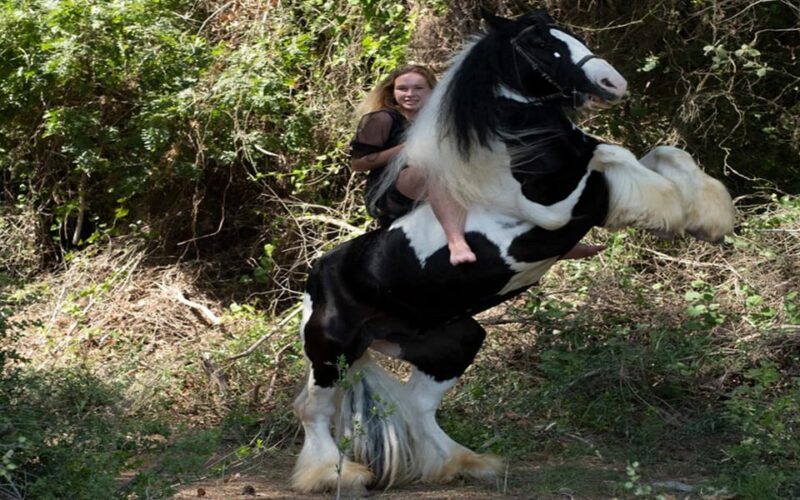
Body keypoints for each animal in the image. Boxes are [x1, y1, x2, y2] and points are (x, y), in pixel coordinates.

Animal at [291, 10, 736, 494]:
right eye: (540, 44)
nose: (613, 83)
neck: (518, 165)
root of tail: (316, 276)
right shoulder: (558, 212)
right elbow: (611, 152)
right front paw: (673, 210)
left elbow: (660, 152)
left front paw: (708, 217)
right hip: (331, 350)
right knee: (314, 410)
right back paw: (335, 475)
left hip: (452, 342)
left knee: (419, 405)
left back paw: (464, 463)